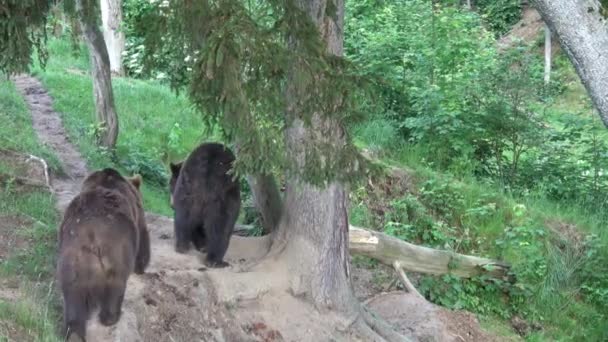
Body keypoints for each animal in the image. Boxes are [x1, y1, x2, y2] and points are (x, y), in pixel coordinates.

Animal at [56, 167, 151, 340]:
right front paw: (141, 266)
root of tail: (92, 233)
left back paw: (74, 333)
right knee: (116, 284)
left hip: (71, 260)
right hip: (118, 252)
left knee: (73, 296)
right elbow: (143, 236)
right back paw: (111, 317)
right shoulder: (137, 215)